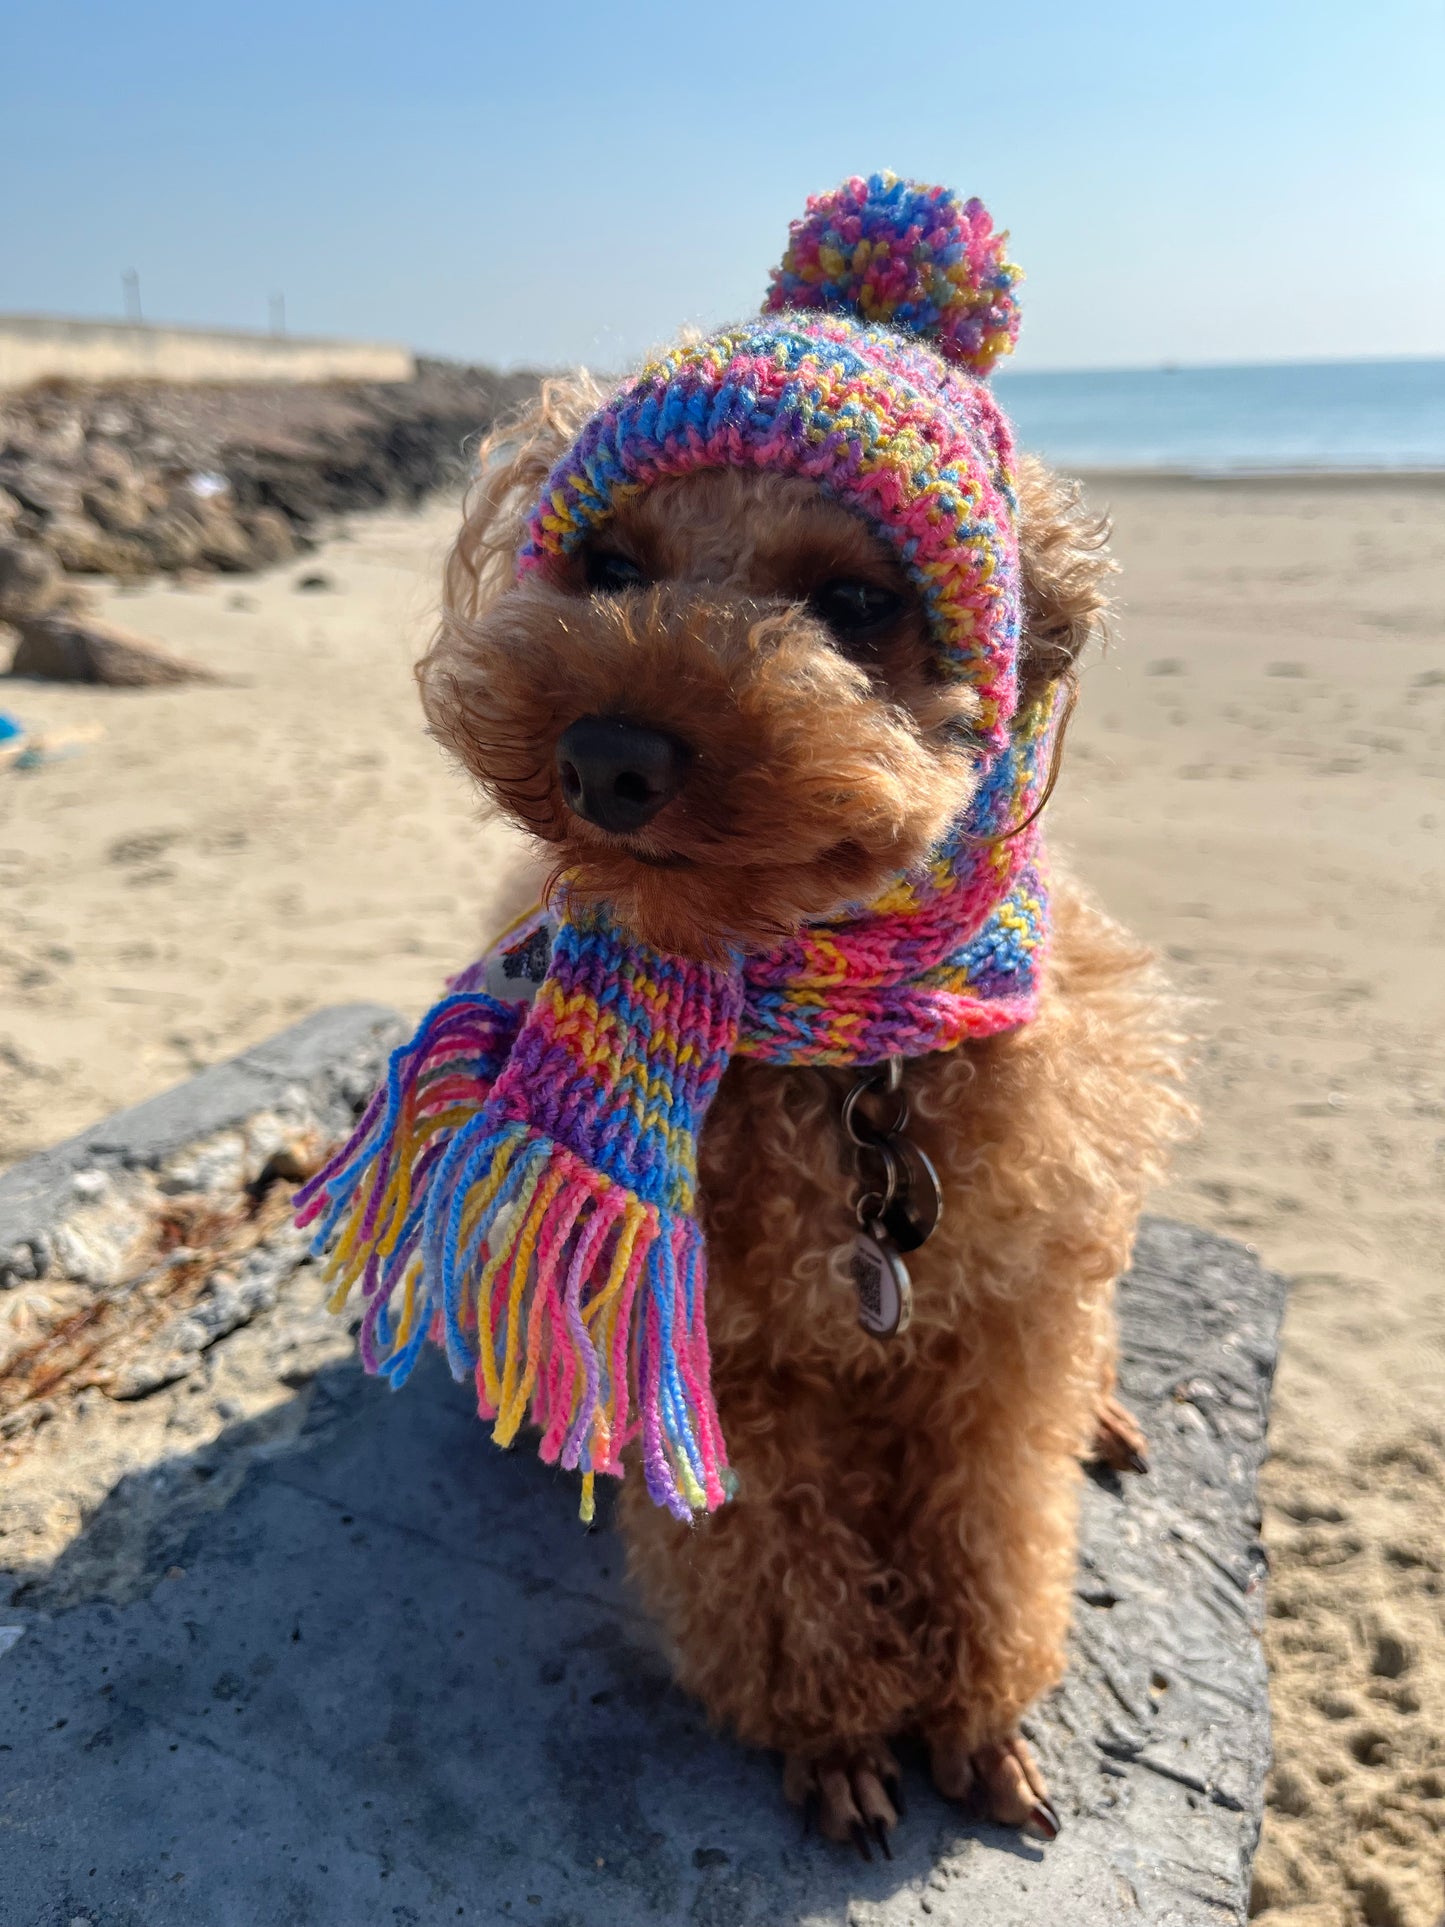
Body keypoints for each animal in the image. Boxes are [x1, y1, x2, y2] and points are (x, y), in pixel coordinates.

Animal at [418, 371, 1186, 1849]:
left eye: (853, 600)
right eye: (613, 569)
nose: (605, 756)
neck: (850, 1064)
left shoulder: (1007, 1328)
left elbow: (994, 1527)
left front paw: (978, 1713)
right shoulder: (720, 1352)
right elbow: (769, 1563)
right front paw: (833, 1734)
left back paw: (1109, 1416)